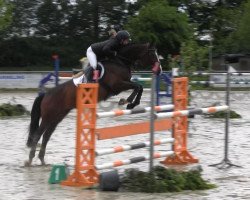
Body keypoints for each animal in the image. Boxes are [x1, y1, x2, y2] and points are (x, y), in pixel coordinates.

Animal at [25, 42, 162, 166]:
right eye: (152, 54)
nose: (159, 71)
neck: (120, 62)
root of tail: (46, 94)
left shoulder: (123, 84)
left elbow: (139, 87)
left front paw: (131, 103)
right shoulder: (117, 85)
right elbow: (137, 86)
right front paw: (127, 102)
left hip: (57, 117)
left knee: (47, 135)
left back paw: (42, 160)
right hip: (48, 117)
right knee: (38, 135)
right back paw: (30, 160)